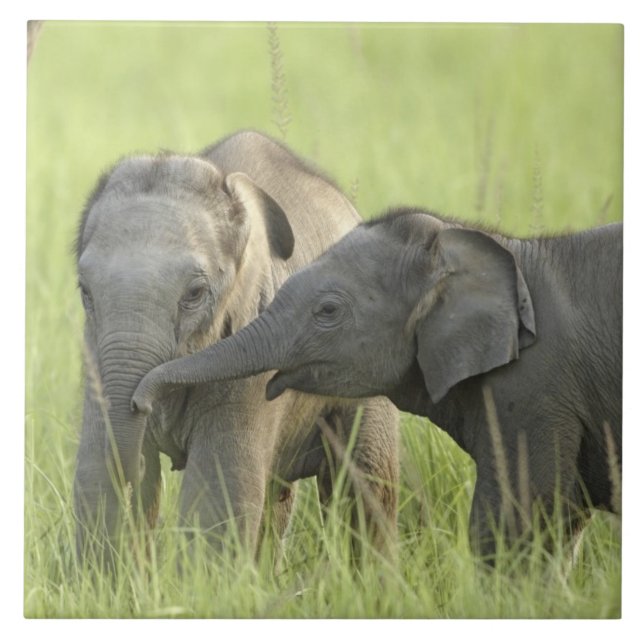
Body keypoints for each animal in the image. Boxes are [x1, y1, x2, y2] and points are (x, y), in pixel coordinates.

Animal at [73, 130, 399, 564]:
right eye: (85, 291)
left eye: (194, 294)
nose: (141, 403)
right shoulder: (94, 347)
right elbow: (94, 476)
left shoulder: (253, 346)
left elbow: (216, 496)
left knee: (365, 484)